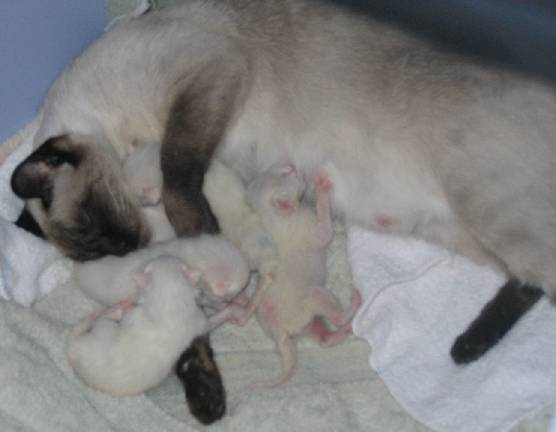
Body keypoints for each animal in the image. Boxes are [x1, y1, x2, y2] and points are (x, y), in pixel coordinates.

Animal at [8, 0, 556, 422]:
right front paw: (208, 401)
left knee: (542, 277)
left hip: (492, 216)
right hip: (463, 231)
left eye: (97, 224)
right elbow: (190, 343)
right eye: (97, 244)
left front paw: (203, 231)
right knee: (526, 283)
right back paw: (466, 347)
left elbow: (177, 176)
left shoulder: (207, 79)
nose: (129, 248)